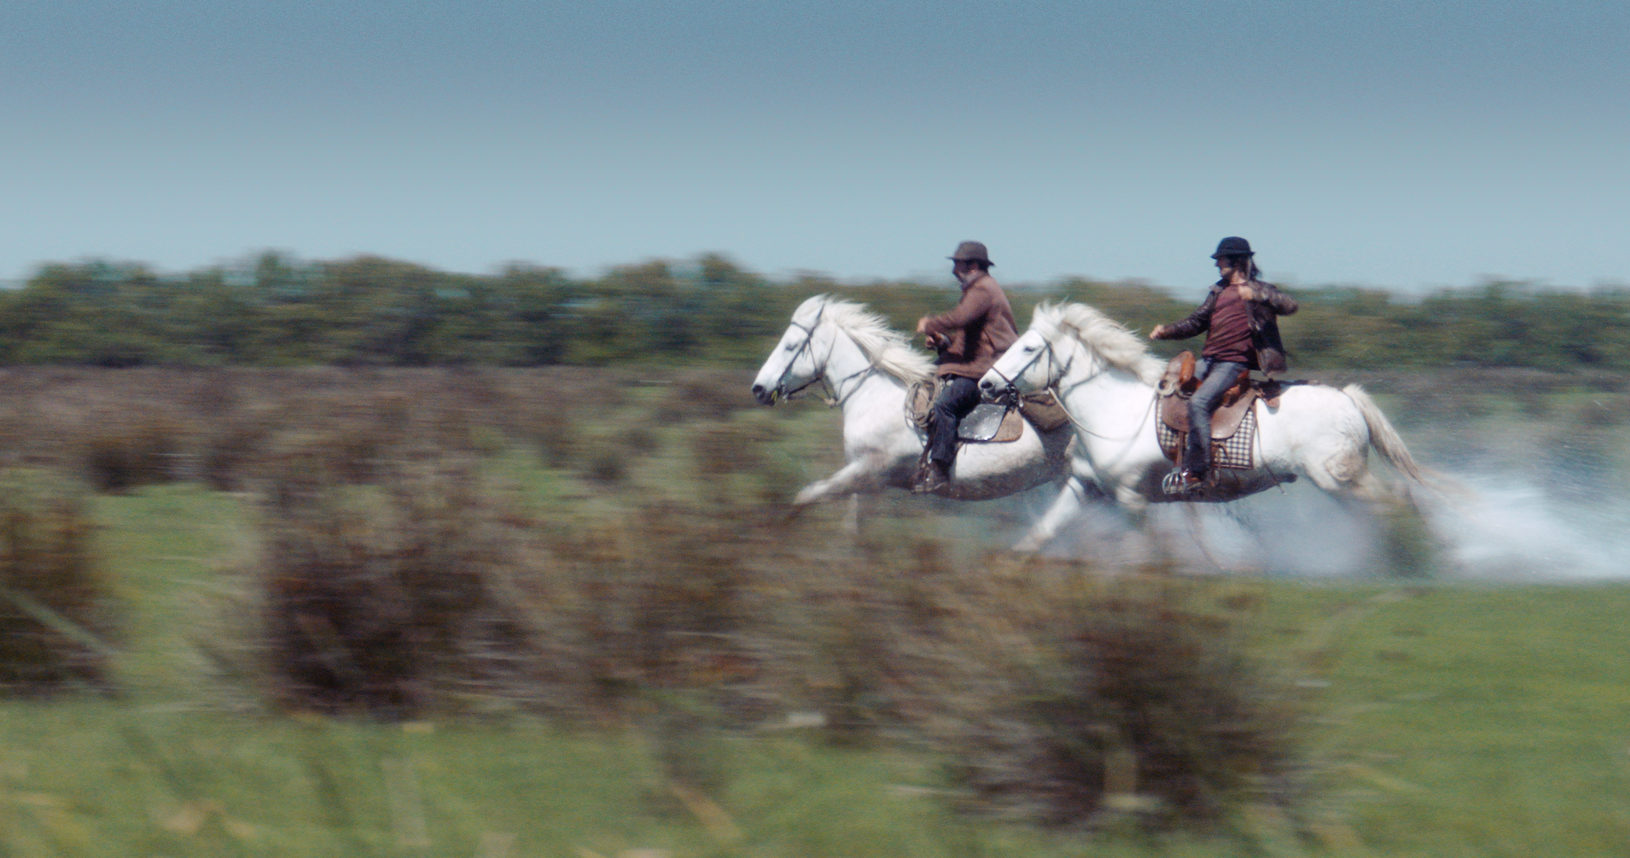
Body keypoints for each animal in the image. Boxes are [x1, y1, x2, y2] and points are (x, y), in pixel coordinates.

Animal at [750, 295, 1083, 546]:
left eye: (791, 345)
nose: (758, 389)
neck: (873, 395)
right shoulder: (868, 482)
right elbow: (852, 526)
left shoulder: (868, 470)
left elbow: (808, 495)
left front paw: (778, 529)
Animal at [978, 302, 1432, 561]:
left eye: (1029, 348)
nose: (986, 384)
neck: (1114, 412)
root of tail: (1348, 398)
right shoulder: (1083, 486)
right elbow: (1041, 533)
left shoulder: (1131, 499)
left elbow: (1147, 549)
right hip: (1338, 484)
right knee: (1384, 507)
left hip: (1338, 477)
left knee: (1392, 504)